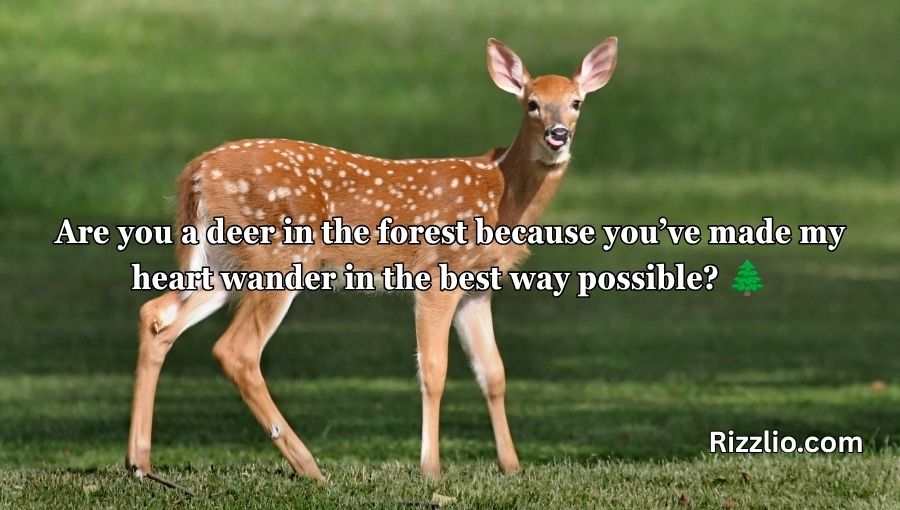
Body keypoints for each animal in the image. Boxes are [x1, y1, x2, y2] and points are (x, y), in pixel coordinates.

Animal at [126, 37, 618, 490]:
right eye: (532, 104)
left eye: (576, 102)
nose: (558, 134)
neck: (501, 193)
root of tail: (195, 173)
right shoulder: (437, 274)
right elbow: (434, 370)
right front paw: (431, 470)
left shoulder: (477, 288)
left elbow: (492, 372)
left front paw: (511, 466)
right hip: (280, 256)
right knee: (236, 349)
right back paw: (309, 467)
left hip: (222, 263)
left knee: (157, 315)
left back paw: (140, 463)